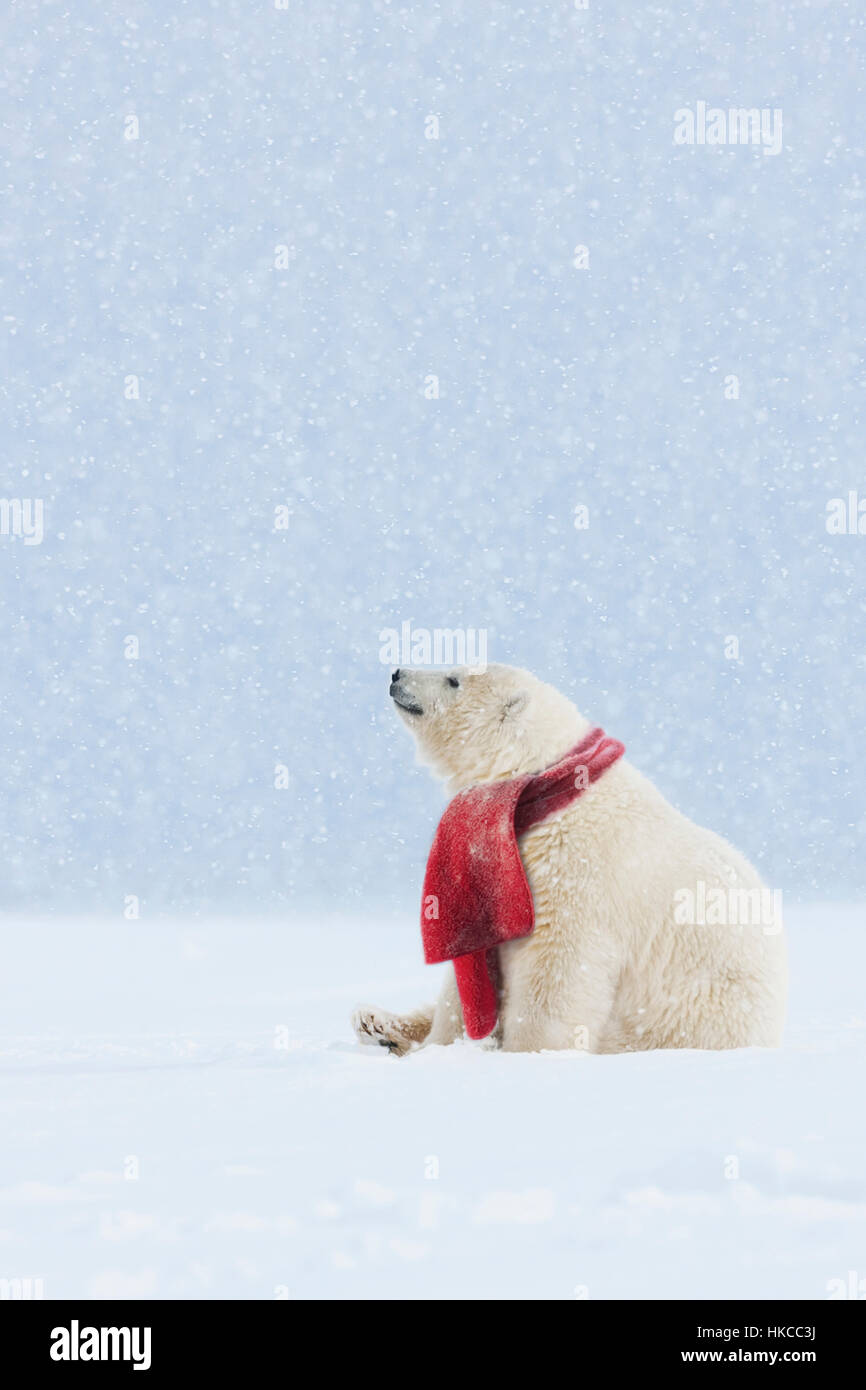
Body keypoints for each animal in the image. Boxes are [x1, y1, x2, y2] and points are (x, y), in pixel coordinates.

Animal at [352, 663, 787, 1056]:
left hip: (695, 1012)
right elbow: (473, 960)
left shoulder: (574, 870)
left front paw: (528, 1052)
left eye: (453, 680)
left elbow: (557, 969)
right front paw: (442, 1044)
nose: (396, 674)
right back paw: (377, 1022)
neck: (545, 786)